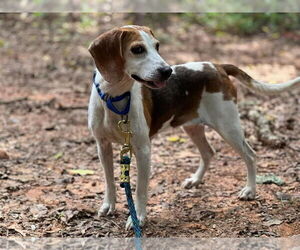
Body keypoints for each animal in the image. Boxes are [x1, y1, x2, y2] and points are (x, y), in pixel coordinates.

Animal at [88, 24, 300, 229]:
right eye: (137, 49)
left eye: (157, 46)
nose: (167, 71)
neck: (114, 96)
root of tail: (218, 66)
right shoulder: (102, 146)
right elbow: (109, 181)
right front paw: (109, 206)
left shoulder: (143, 150)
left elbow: (140, 190)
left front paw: (137, 218)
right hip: (192, 127)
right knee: (208, 152)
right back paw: (196, 180)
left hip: (228, 126)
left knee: (250, 155)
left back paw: (250, 190)